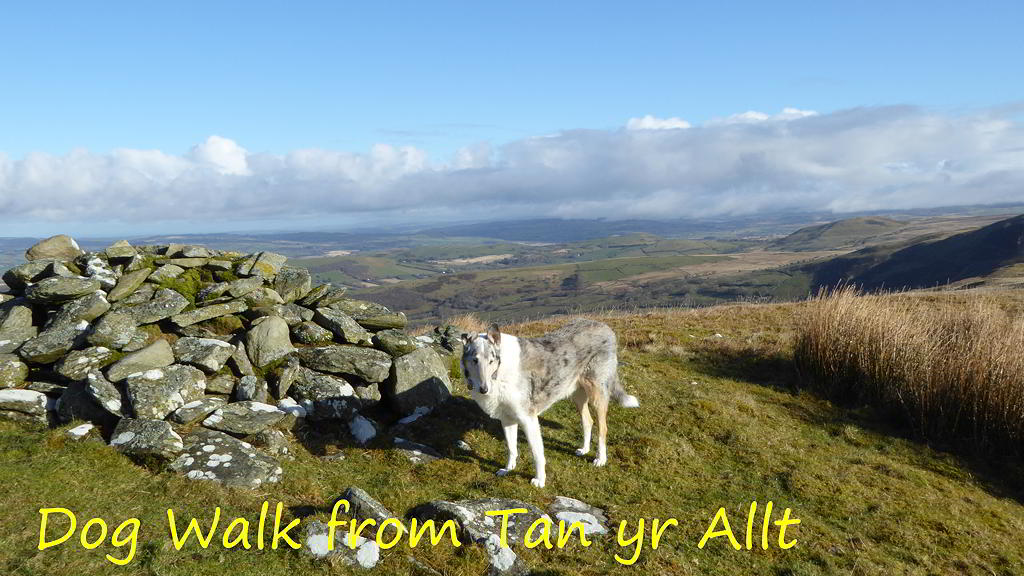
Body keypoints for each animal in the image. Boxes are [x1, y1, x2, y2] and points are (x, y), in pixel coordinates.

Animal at [460, 315, 634, 485]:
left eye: (491, 361)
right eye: (475, 360)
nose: (484, 389)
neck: (500, 371)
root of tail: (605, 327)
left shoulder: (528, 419)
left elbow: (537, 454)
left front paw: (540, 480)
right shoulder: (507, 419)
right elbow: (511, 447)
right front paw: (508, 469)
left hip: (597, 395)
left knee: (603, 428)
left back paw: (600, 459)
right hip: (577, 396)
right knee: (588, 421)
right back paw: (584, 450)